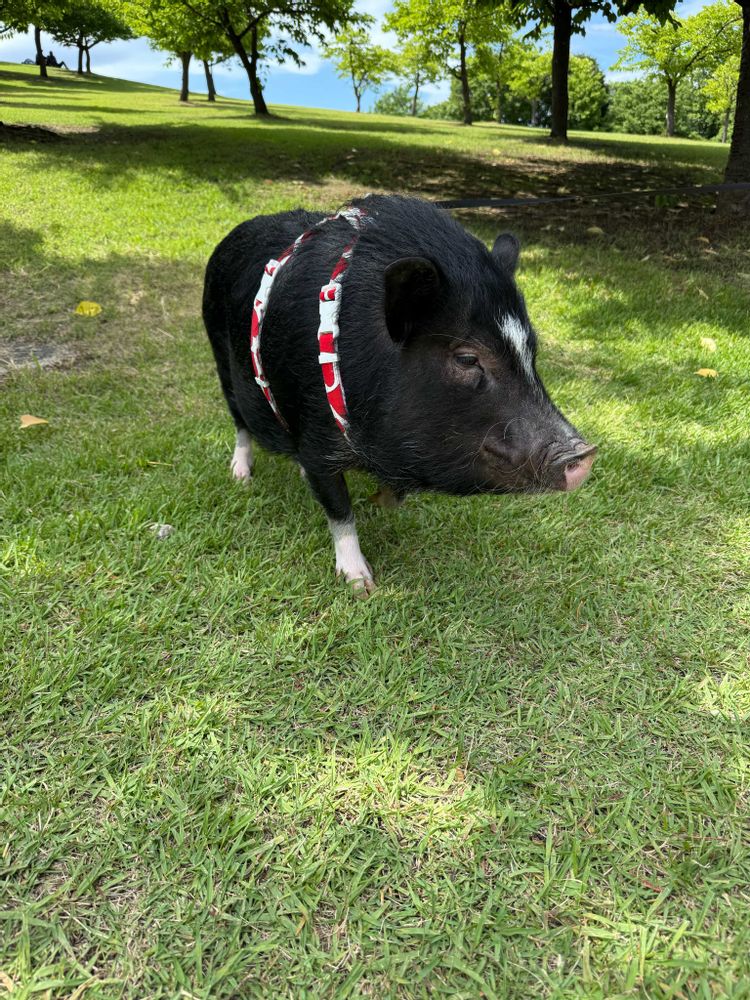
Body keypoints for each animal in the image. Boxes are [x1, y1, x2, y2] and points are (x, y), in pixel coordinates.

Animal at [203, 195, 595, 594]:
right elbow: (339, 507)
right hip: (222, 359)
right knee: (240, 422)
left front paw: (385, 503)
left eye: (531, 349)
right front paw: (361, 585)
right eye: (467, 358)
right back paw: (241, 476)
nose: (584, 454)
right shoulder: (315, 427)